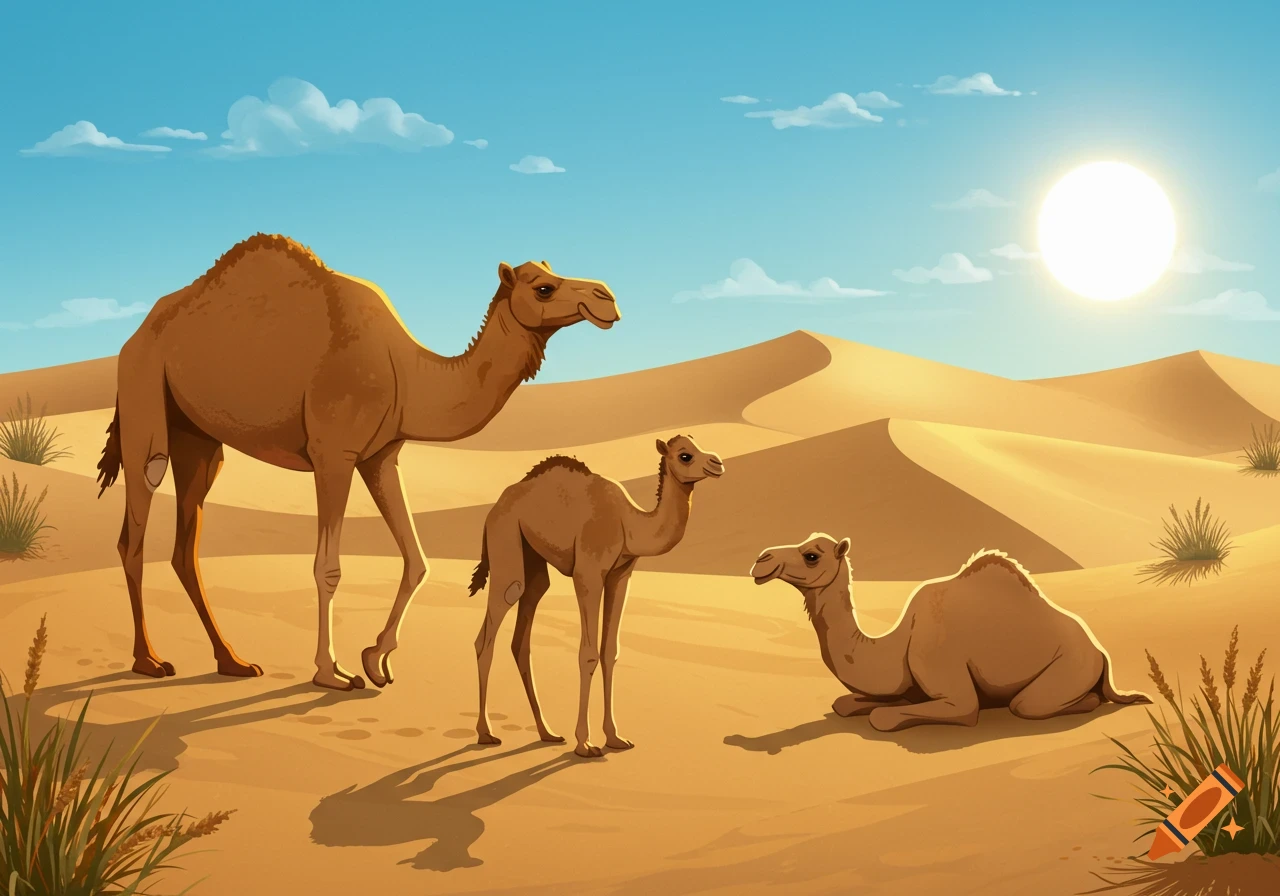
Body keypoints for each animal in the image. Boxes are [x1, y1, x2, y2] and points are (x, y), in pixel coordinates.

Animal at [95, 233, 620, 692]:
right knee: (136, 523)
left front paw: (376, 659)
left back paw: (233, 661)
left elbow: (417, 559)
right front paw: (332, 673)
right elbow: (327, 568)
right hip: (145, 393)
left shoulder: (380, 457)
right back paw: (149, 660)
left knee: (185, 544)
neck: (407, 371)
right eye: (543, 287)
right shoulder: (334, 452)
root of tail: (133, 337)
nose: (608, 298)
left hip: (199, 439)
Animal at [468, 435, 724, 757]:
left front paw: (615, 738)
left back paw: (547, 732)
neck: (629, 524)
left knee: (523, 633)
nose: (718, 463)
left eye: (698, 445)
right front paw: (585, 743)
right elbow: (588, 654)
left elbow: (610, 651)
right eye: (685, 455)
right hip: (505, 539)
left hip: (533, 560)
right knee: (492, 624)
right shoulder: (588, 575)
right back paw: (485, 733)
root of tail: (494, 508)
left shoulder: (621, 576)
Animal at [750, 533, 1151, 731]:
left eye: (812, 555)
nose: (761, 560)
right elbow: (846, 703)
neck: (897, 642)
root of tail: (1101, 652)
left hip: (1069, 668)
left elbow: (887, 718)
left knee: (1030, 704)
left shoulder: (947, 681)